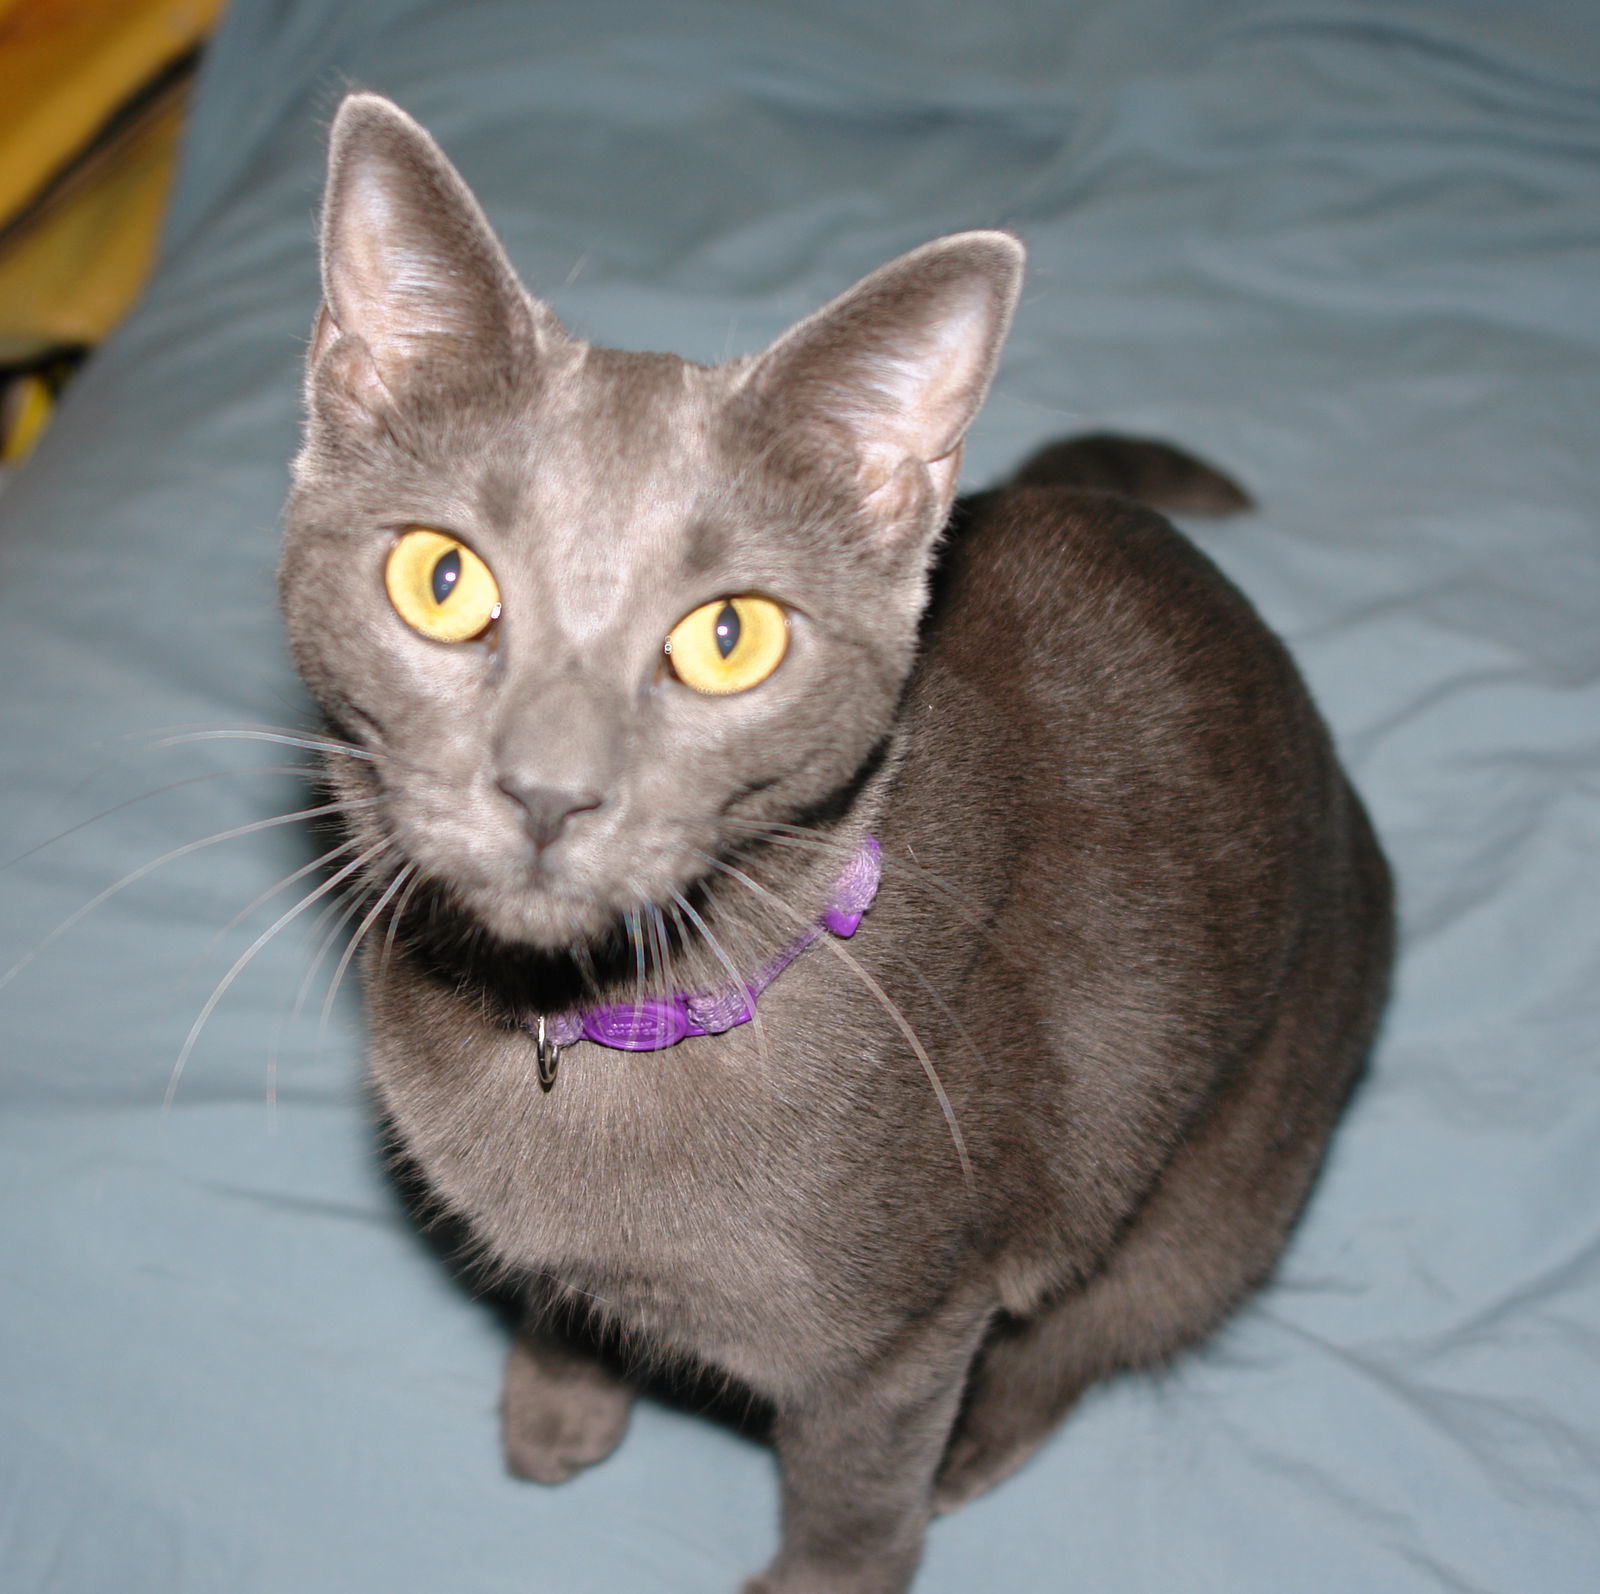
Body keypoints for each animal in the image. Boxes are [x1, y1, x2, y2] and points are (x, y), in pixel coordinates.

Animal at [281, 96, 1395, 1594]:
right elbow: (560, 1288)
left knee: (1100, 1329)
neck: (600, 1027)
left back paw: (985, 1444)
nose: (548, 791)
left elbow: (857, 1491)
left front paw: (823, 1572)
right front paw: (559, 1402)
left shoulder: (901, 1346)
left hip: (1224, 1186)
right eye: (440, 579)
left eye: (729, 634)